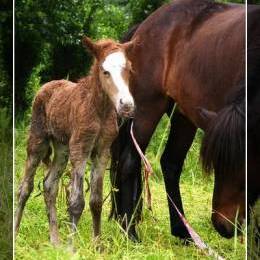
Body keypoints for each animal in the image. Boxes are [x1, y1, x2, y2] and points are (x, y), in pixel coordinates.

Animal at [13, 36, 135, 246]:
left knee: (49, 185)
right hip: (38, 141)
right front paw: (72, 248)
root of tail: (47, 85)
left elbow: (96, 201)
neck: (99, 110)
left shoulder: (102, 152)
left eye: (128, 69)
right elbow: (76, 201)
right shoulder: (81, 149)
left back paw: (55, 241)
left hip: (62, 149)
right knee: (25, 188)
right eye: (105, 71)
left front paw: (97, 246)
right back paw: (14, 234)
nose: (126, 105)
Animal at [110, 0, 245, 241]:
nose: (225, 226)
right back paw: (130, 233)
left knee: (170, 163)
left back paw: (183, 232)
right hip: (147, 108)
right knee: (129, 161)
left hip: (184, 116)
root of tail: (143, 27)